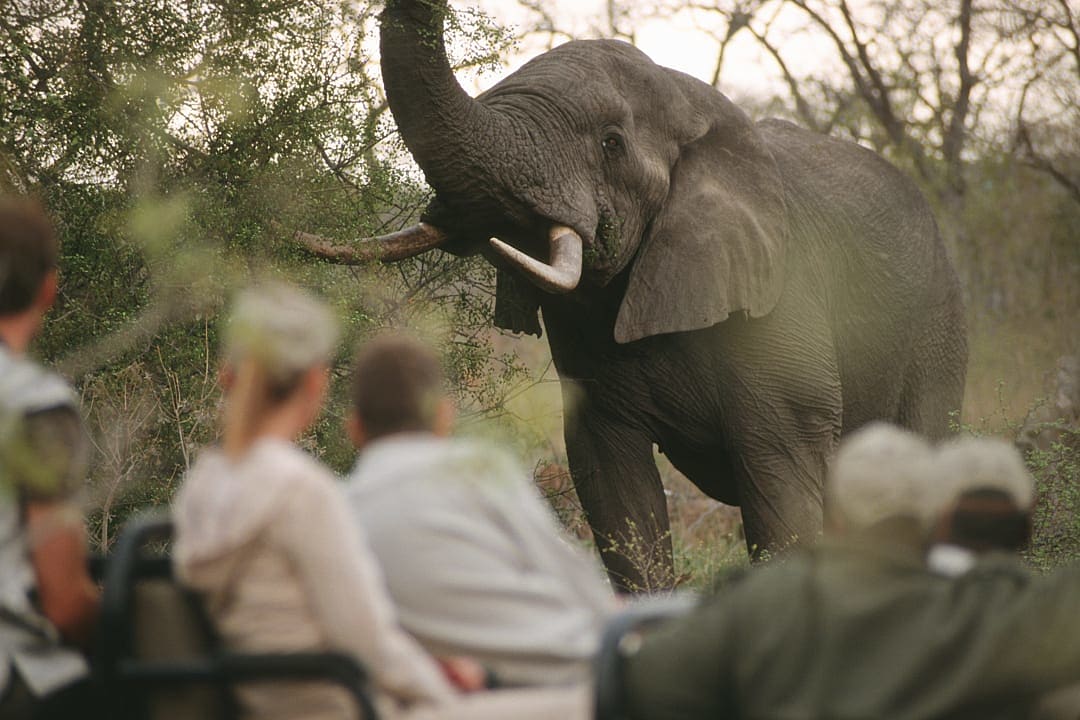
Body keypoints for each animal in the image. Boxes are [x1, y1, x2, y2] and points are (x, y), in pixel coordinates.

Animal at [299, 0, 968, 591]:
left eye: (611, 144)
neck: (690, 101)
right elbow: (616, 488)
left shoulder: (781, 305)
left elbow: (784, 486)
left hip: (937, 327)